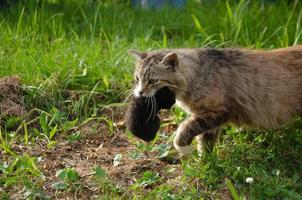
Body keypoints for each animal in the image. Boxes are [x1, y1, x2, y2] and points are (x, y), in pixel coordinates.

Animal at [129, 46, 302, 155]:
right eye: (137, 79)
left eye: (153, 81)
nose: (140, 92)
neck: (196, 76)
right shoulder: (208, 118)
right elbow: (204, 140)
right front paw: (205, 162)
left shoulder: (217, 111)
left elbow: (184, 129)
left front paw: (184, 149)